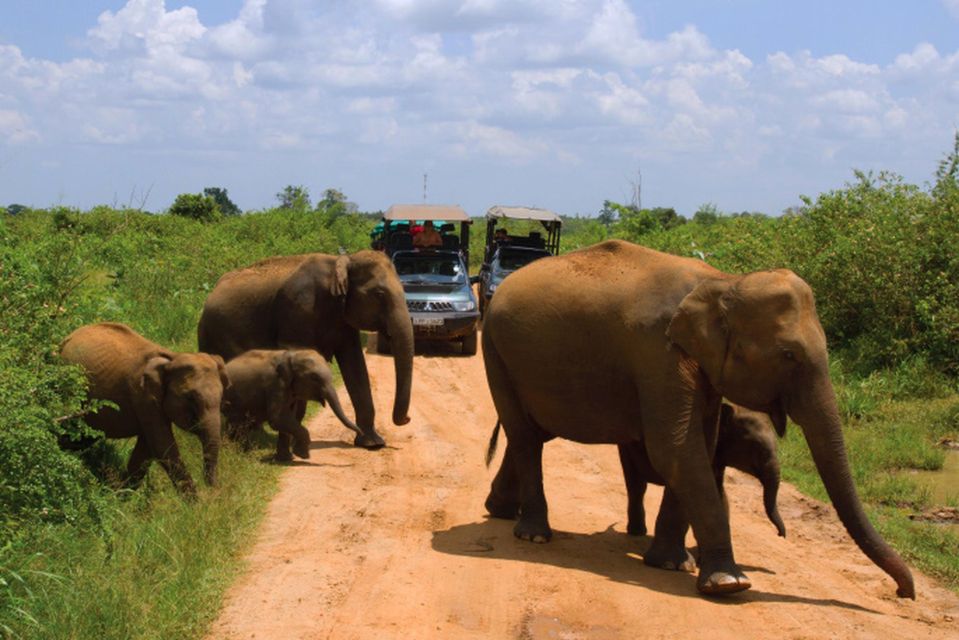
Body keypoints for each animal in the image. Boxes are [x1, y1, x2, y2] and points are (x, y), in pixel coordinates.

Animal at [61, 322, 231, 498]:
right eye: (190, 397)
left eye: (221, 397)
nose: (213, 492)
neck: (171, 358)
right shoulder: (143, 396)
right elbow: (162, 445)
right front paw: (196, 503)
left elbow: (147, 449)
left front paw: (120, 496)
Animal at [199, 248, 412, 448]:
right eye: (379, 294)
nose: (407, 419)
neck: (341, 262)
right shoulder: (298, 307)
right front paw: (295, 445)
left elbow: (354, 364)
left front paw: (372, 444)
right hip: (216, 334)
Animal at [223, 350, 362, 460]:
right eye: (314, 377)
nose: (361, 433)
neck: (292, 355)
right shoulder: (276, 384)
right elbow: (278, 419)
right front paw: (303, 455)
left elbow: (288, 418)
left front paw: (286, 458)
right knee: (237, 424)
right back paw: (239, 452)